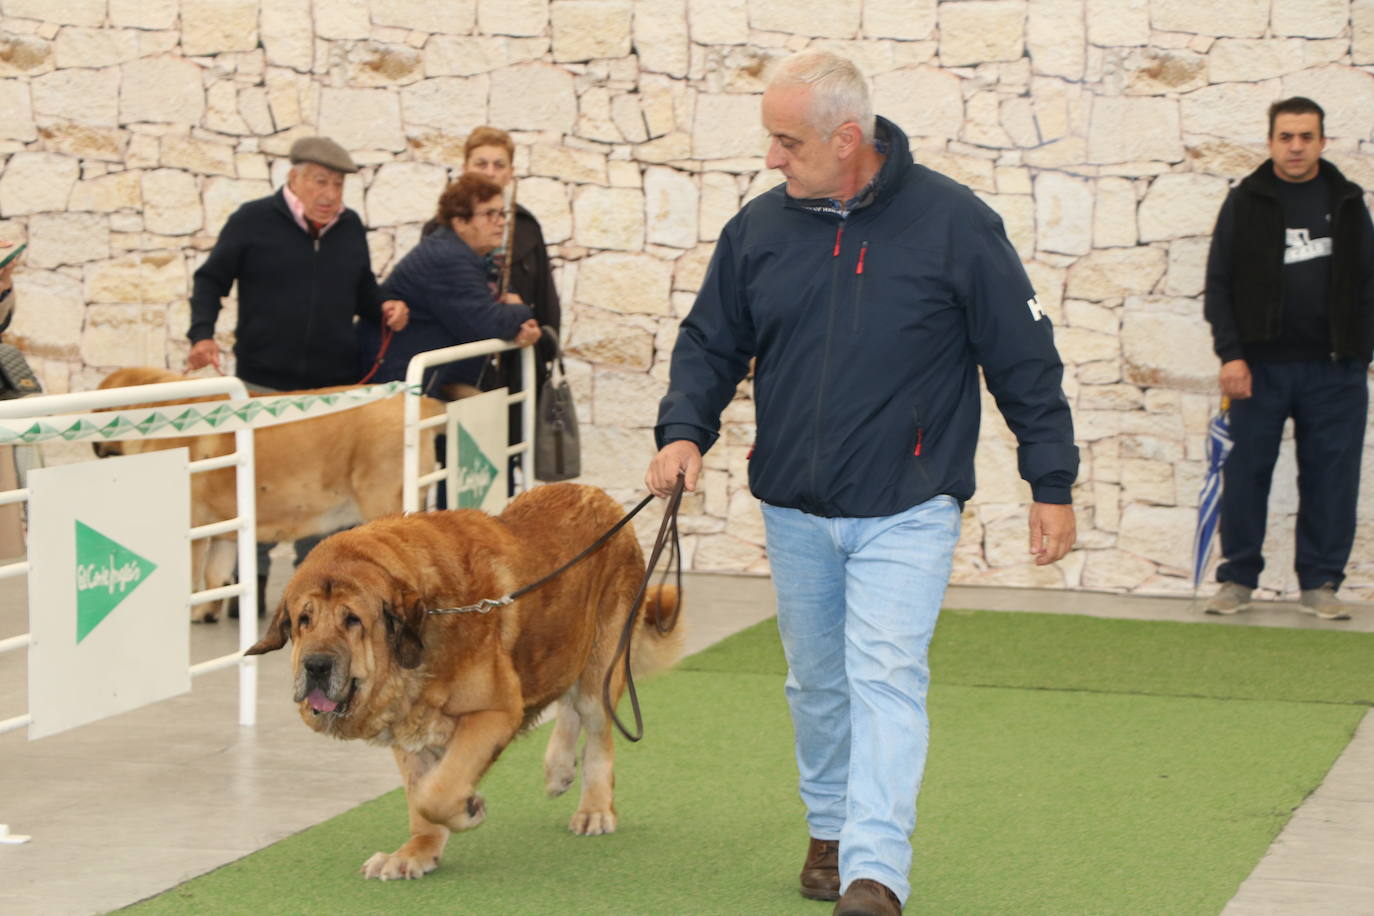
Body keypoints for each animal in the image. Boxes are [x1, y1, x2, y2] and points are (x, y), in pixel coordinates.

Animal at [245, 483, 681, 884]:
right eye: (303, 620)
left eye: (352, 620)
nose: (316, 665)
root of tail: (602, 497)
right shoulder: (410, 733)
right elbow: (420, 797)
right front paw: (416, 853)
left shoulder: (495, 712)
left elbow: (437, 793)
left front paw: (468, 810)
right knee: (567, 704)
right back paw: (558, 770)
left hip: (602, 663)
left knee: (596, 732)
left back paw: (594, 809)